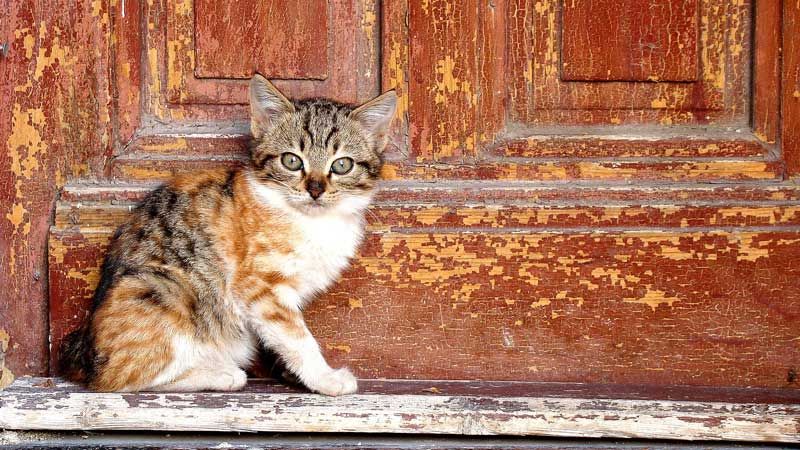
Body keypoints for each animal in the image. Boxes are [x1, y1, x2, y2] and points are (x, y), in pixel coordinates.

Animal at [58, 74, 396, 394]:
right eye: (291, 160)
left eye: (342, 165)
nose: (315, 189)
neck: (314, 221)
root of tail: (83, 351)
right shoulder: (259, 287)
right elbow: (297, 337)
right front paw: (323, 378)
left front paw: (292, 374)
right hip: (162, 290)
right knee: (119, 377)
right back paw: (220, 374)